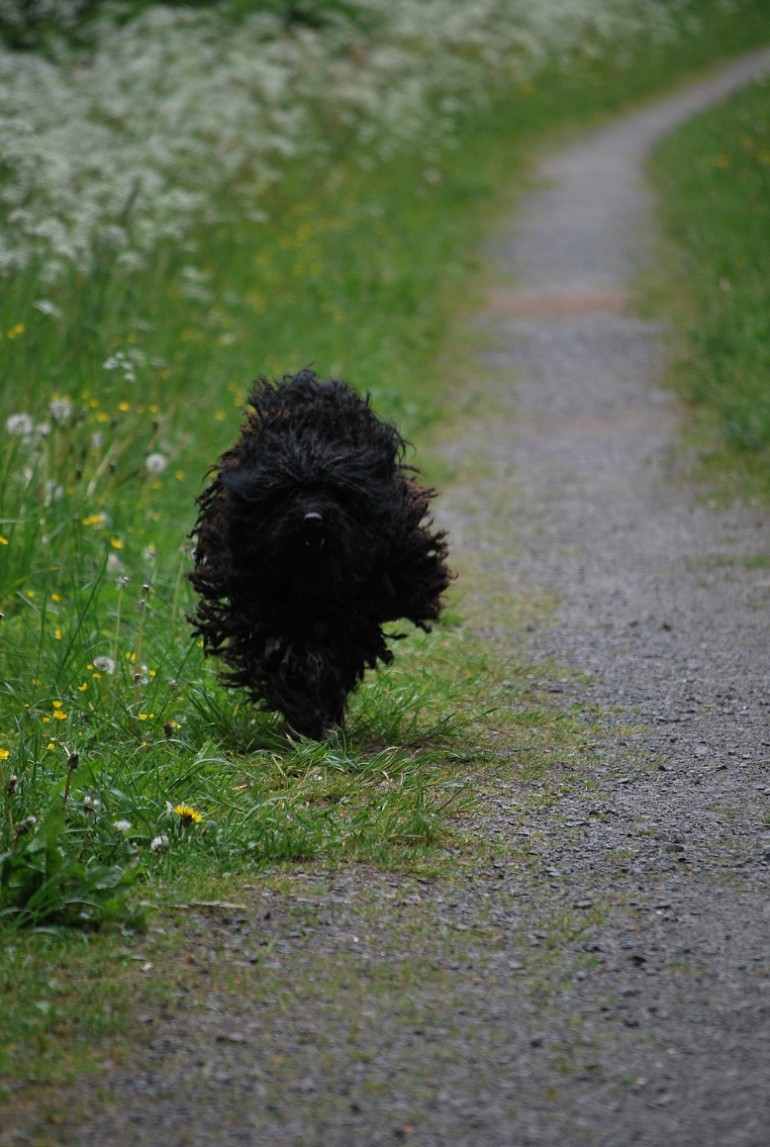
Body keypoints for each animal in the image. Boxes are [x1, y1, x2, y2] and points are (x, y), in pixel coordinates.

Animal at [188, 371, 452, 738]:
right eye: (288, 491)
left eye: (334, 490)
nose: (312, 519)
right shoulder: (261, 604)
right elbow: (281, 655)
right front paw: (304, 712)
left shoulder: (356, 609)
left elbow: (335, 658)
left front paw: (318, 712)